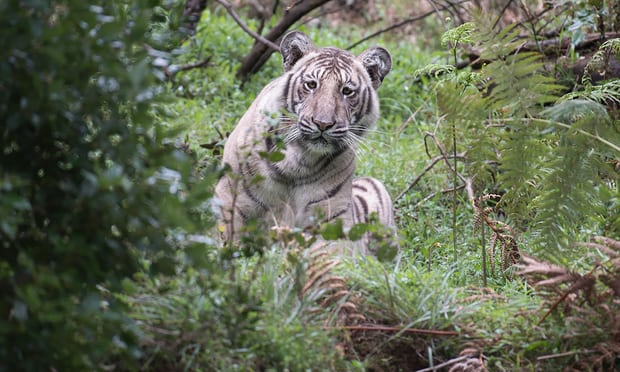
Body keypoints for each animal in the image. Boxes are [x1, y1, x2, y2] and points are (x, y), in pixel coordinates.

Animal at [213, 31, 398, 253]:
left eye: (347, 91)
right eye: (311, 85)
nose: (323, 123)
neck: (297, 160)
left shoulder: (332, 220)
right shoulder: (232, 198)